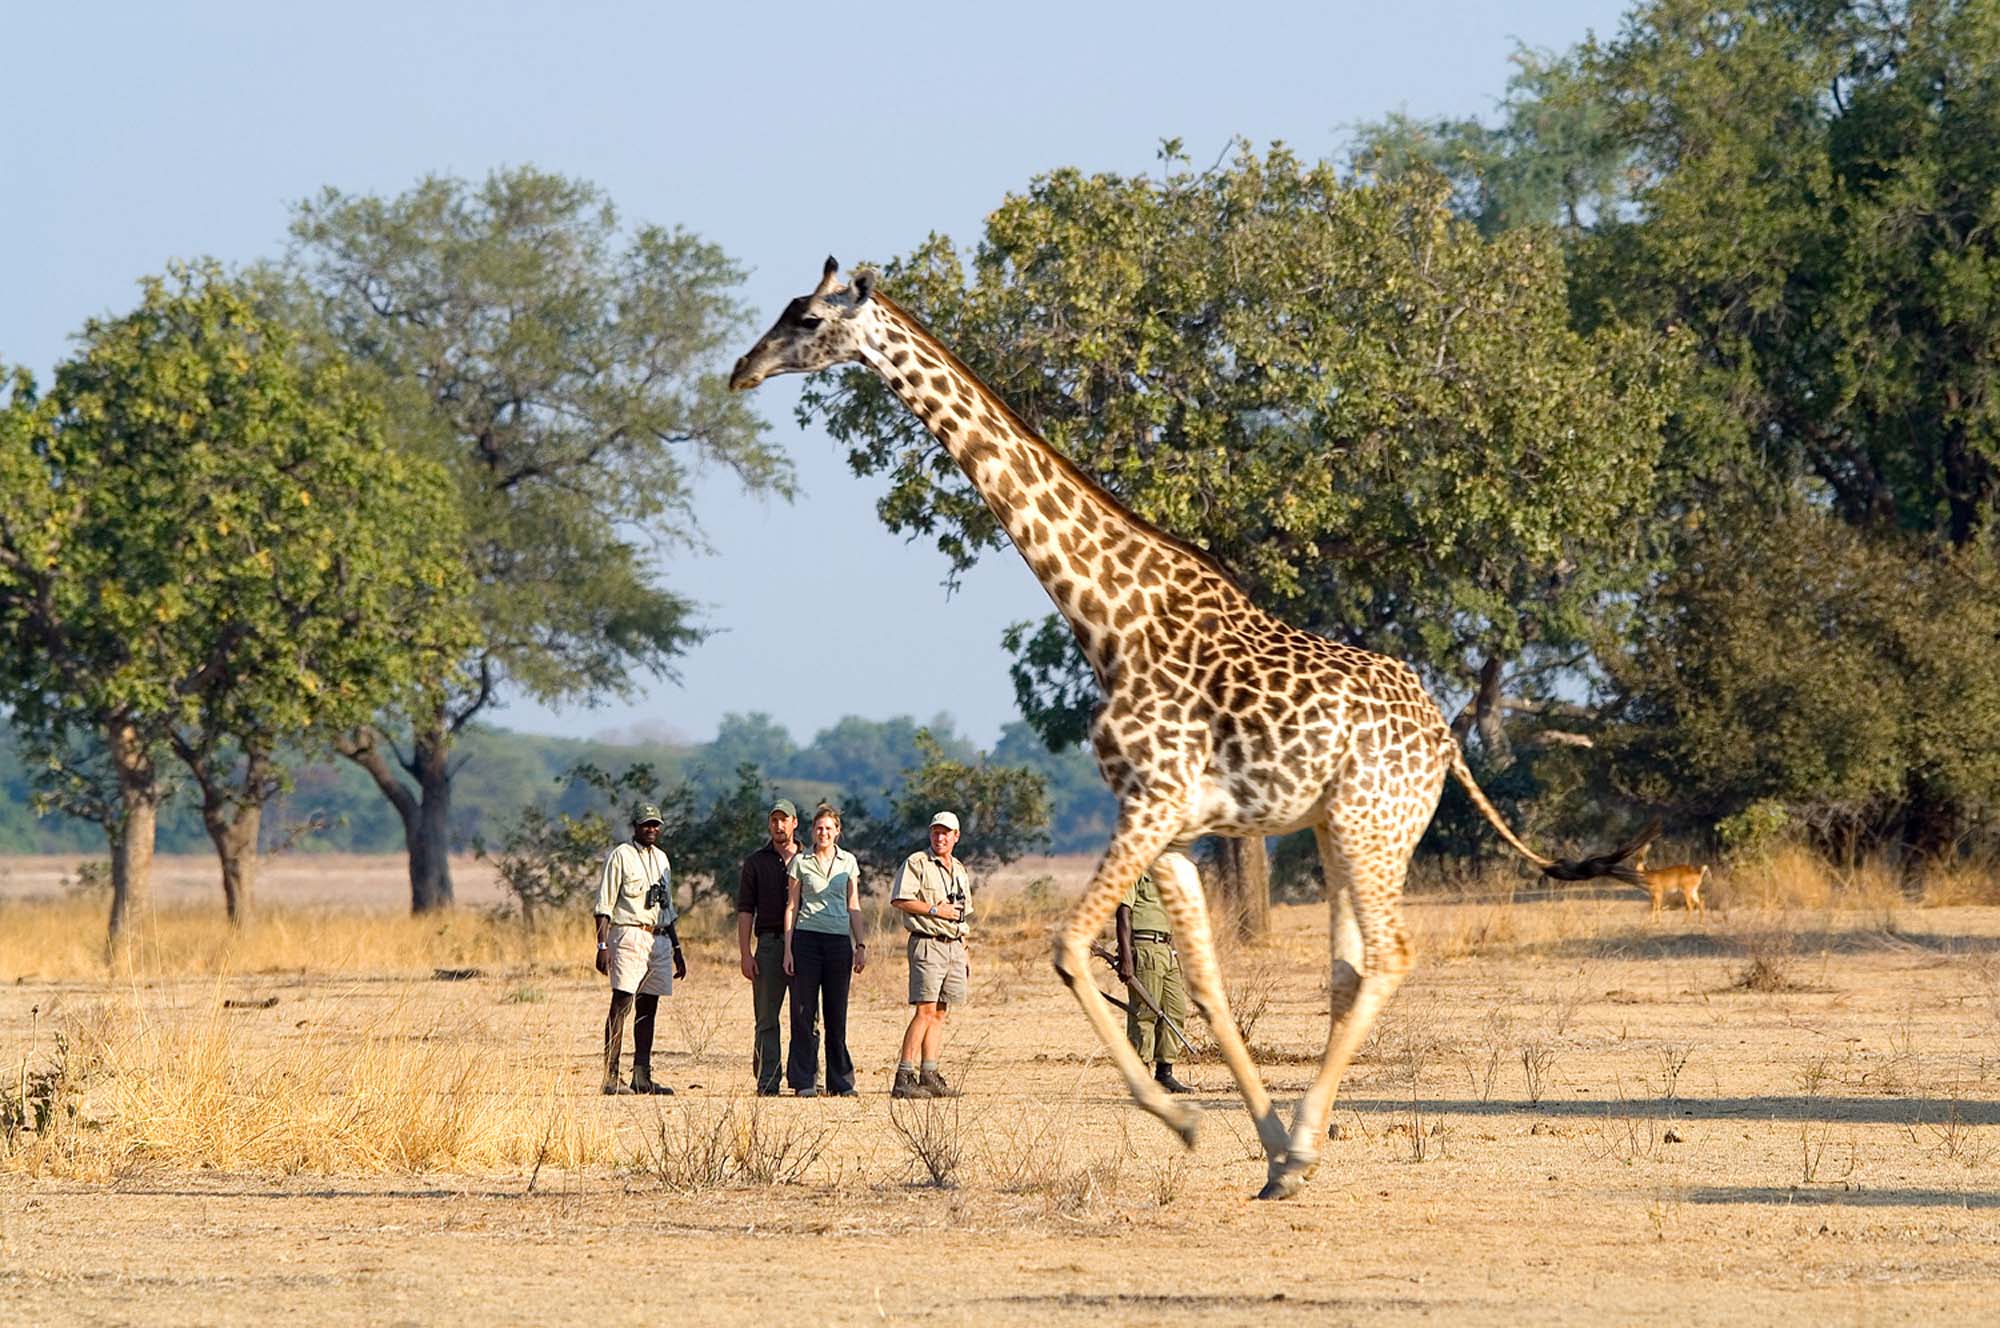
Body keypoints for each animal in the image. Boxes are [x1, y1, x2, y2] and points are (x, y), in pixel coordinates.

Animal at [728, 262, 1648, 1200]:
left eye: (806, 318)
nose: (740, 369)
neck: (1110, 619)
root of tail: (1447, 740)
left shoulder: (1151, 802)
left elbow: (1069, 947)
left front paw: (1186, 1121)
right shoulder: (1171, 826)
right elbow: (1201, 979)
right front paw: (1265, 1143)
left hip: (1373, 824)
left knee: (1388, 956)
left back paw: (1308, 1141)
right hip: (1338, 828)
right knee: (1349, 969)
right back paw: (1300, 1148)